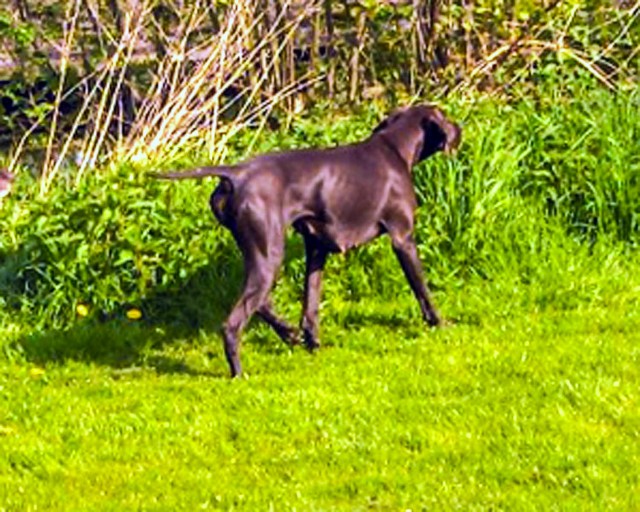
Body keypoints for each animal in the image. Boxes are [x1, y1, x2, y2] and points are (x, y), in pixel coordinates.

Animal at [158, 105, 462, 376]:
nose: (459, 128)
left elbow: (311, 302)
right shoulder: (403, 238)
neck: (394, 148)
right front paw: (439, 322)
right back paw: (238, 372)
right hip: (270, 253)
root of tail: (236, 174)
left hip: (259, 253)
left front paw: (312, 340)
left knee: (261, 301)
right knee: (234, 322)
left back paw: (289, 334)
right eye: (445, 116)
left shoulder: (317, 247)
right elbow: (422, 289)